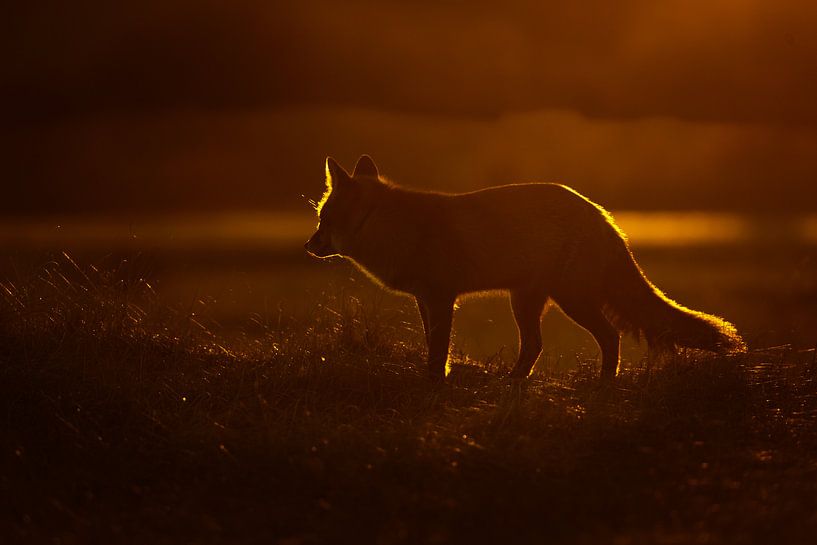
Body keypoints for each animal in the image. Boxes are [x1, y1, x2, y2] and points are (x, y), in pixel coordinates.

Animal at [302, 155, 744, 380]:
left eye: (323, 219)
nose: (307, 246)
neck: (389, 227)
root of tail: (603, 215)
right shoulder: (426, 300)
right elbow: (431, 345)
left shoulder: (442, 298)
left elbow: (438, 350)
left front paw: (434, 384)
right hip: (528, 302)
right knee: (536, 345)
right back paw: (514, 383)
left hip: (568, 300)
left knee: (610, 336)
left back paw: (603, 385)